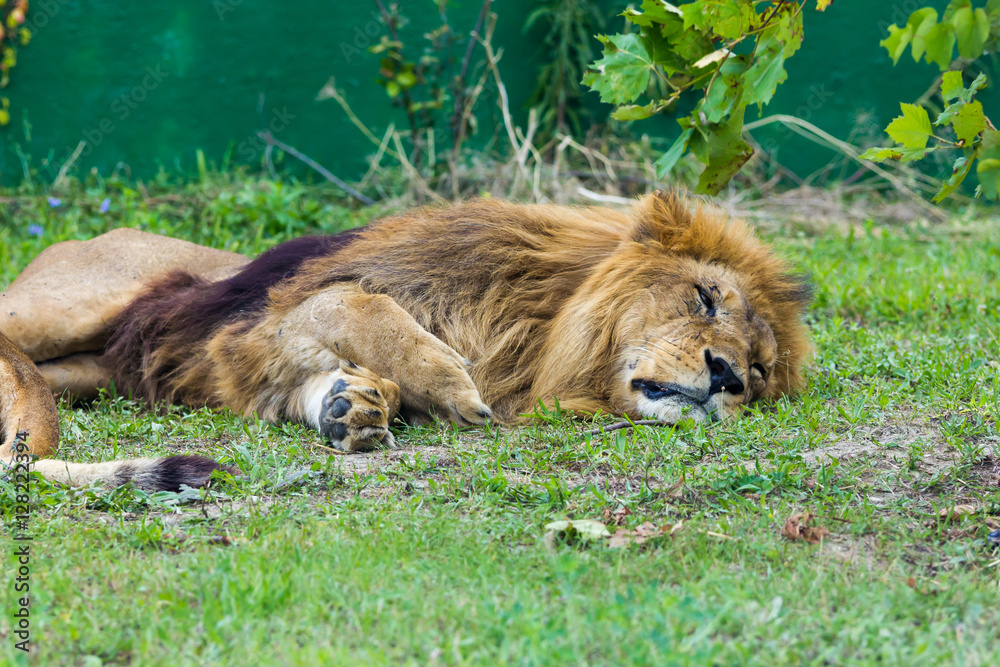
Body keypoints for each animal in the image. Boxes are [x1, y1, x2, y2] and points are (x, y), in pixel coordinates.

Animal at [0, 192, 812, 491]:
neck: (535, 332)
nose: (725, 376)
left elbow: (338, 375)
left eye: (759, 371)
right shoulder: (272, 315)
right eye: (704, 297)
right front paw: (451, 383)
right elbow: (366, 313)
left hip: (88, 370)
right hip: (58, 309)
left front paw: (350, 407)